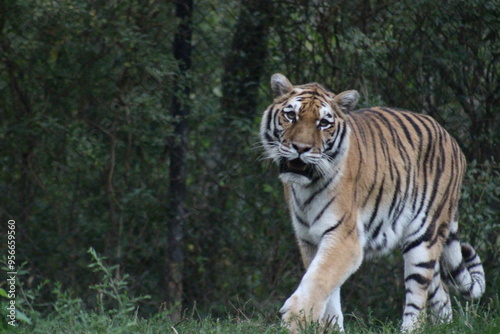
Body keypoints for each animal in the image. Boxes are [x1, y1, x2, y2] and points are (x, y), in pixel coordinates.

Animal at [260, 74, 486, 332]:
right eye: (291, 115)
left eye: (324, 123)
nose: (300, 148)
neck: (305, 188)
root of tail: (452, 140)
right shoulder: (309, 240)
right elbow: (328, 291)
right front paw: (330, 327)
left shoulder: (344, 238)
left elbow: (318, 280)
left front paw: (296, 319)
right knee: (441, 292)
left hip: (423, 238)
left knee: (418, 298)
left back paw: (410, 328)